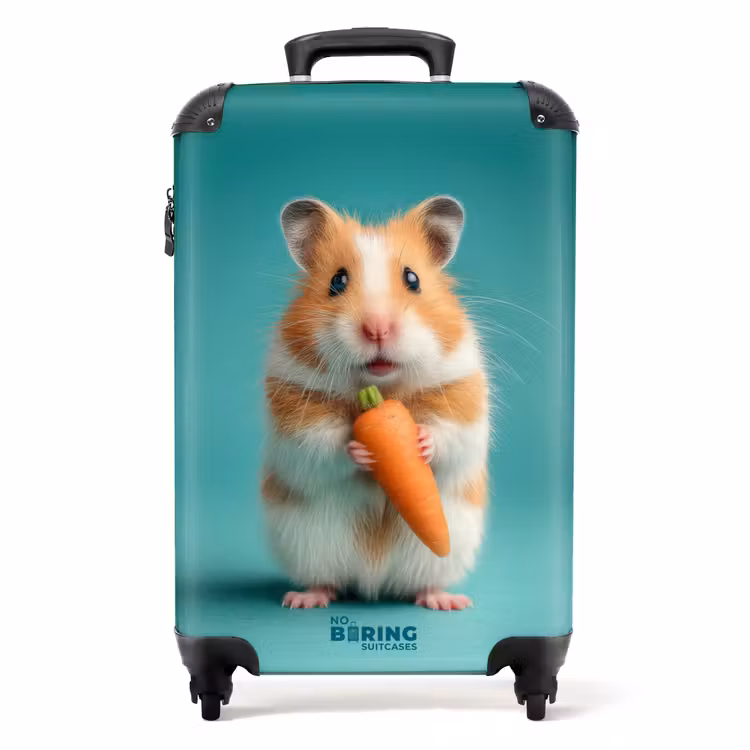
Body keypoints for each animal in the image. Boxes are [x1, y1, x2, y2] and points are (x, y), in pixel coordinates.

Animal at [262, 196, 490, 610]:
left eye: (413, 279)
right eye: (337, 281)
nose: (377, 329)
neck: (379, 392)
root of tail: (372, 583)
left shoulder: (462, 392)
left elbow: (450, 434)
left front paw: (420, 440)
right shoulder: (293, 403)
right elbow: (321, 442)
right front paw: (361, 450)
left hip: (442, 551)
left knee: (425, 581)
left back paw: (447, 601)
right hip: (307, 544)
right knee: (326, 580)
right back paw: (303, 599)